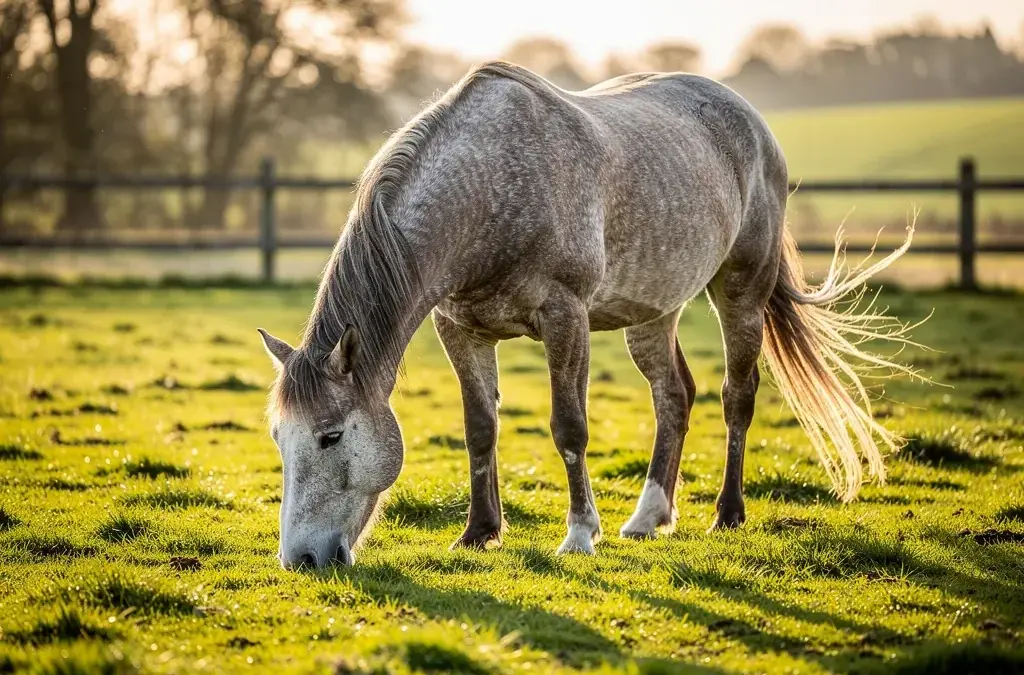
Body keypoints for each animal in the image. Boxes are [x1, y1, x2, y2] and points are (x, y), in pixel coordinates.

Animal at [258, 61, 919, 569]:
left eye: (331, 434)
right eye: (279, 438)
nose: (302, 560)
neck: (491, 187)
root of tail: (750, 120)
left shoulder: (565, 318)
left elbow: (569, 428)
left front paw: (579, 534)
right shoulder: (460, 329)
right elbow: (480, 429)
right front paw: (478, 533)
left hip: (741, 291)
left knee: (738, 396)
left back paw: (726, 515)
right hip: (653, 312)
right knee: (674, 396)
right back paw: (649, 517)